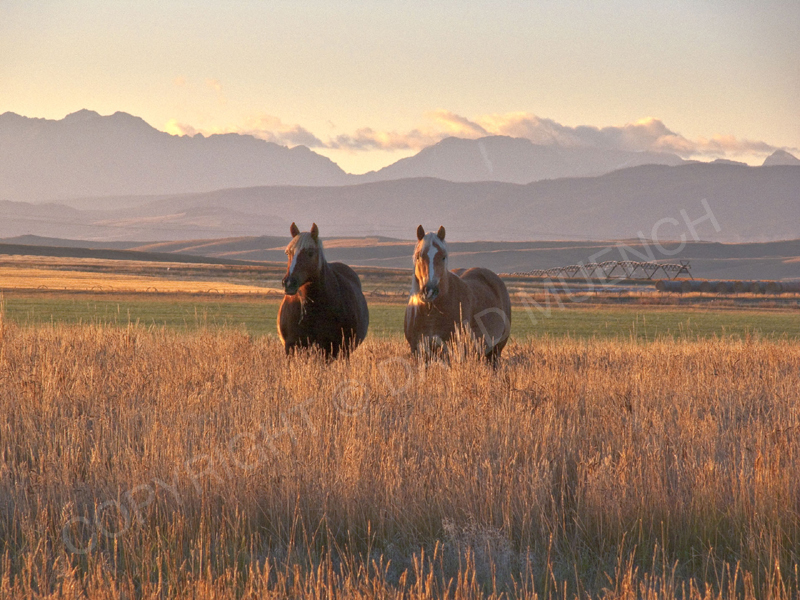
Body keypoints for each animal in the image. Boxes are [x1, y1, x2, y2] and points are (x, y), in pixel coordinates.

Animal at [404, 225, 512, 364]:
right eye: (418, 256)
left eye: (443, 257)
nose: (430, 290)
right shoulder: (418, 351)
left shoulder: (451, 351)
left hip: (495, 351)